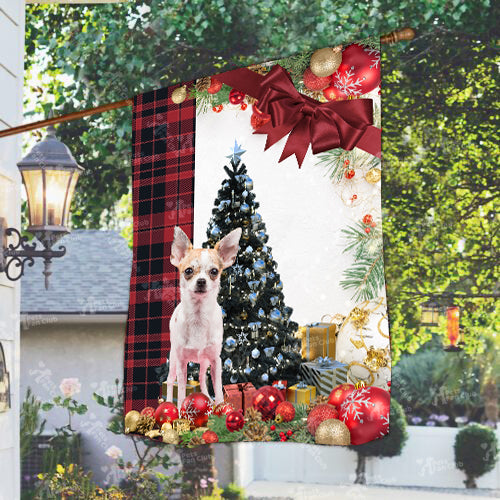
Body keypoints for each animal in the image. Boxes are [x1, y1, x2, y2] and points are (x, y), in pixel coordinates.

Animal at [165, 225, 241, 408]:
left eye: (214, 271)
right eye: (188, 271)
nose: (201, 281)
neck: (198, 317)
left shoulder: (215, 361)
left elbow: (218, 388)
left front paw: (220, 407)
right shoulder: (182, 362)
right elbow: (182, 390)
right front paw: (180, 410)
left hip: (205, 361)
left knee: (201, 378)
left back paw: (208, 400)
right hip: (173, 358)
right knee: (170, 381)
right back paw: (168, 402)